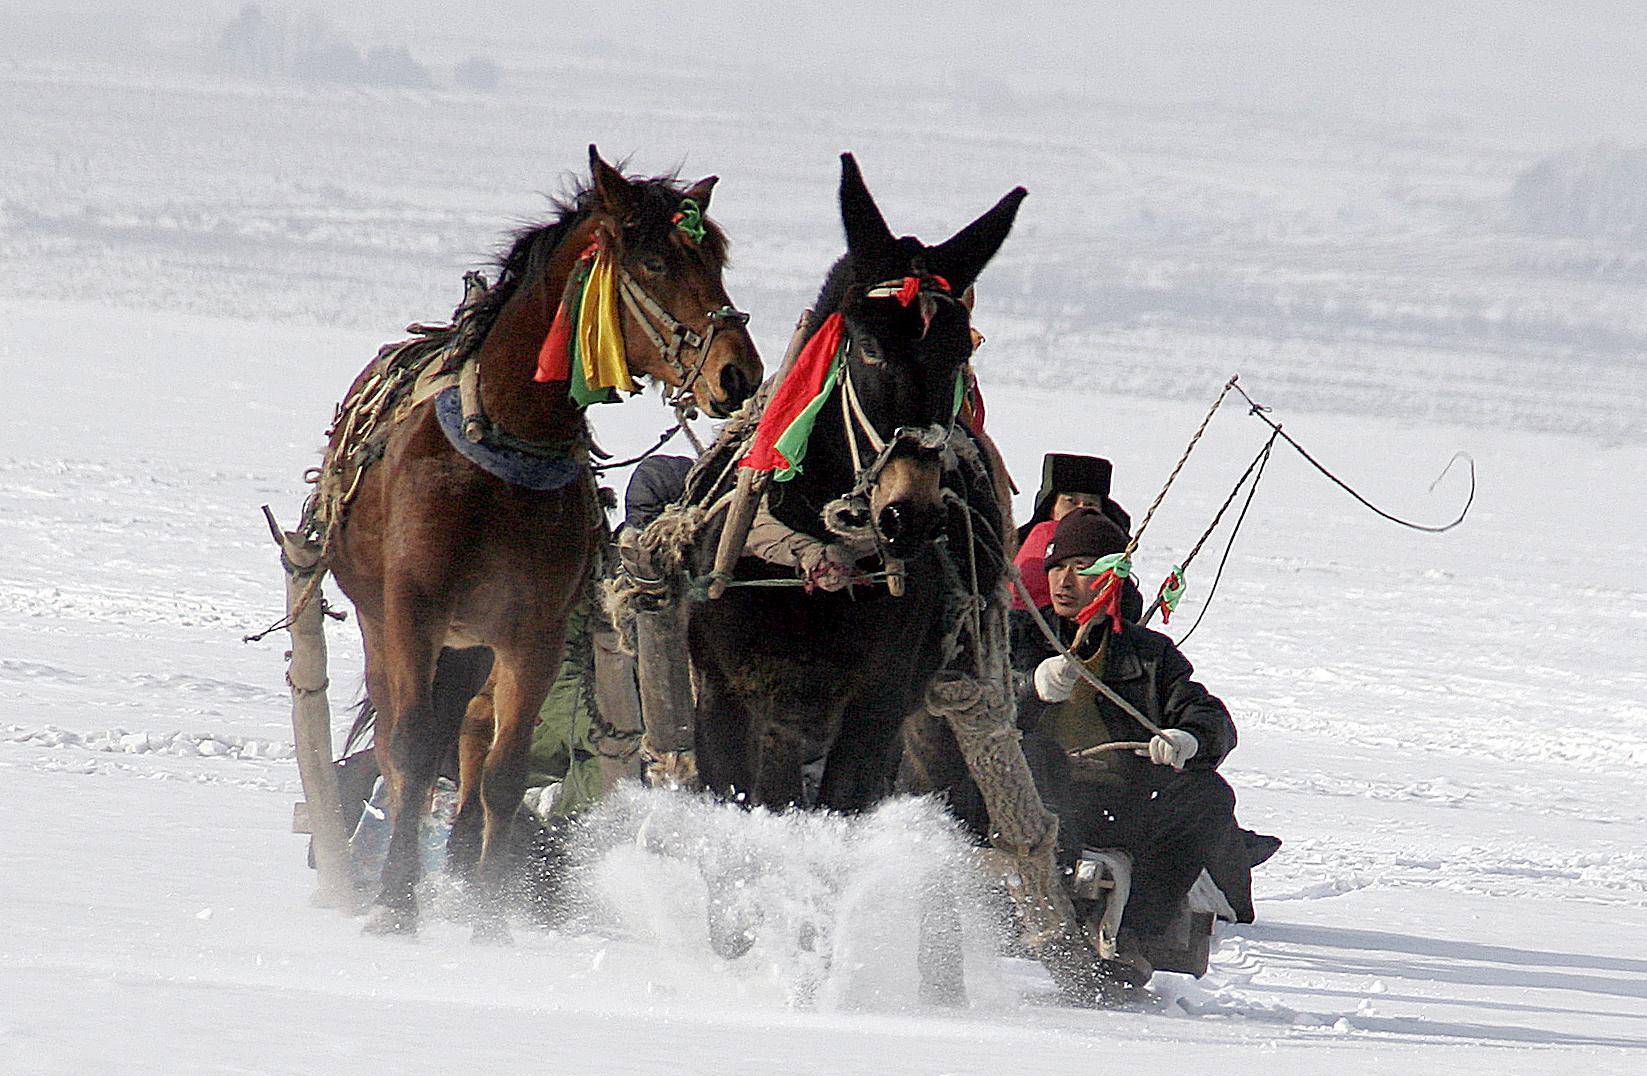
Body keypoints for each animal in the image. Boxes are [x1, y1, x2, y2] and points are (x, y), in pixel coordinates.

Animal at [329, 146, 764, 935]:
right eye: (655, 260)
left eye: (715, 258)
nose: (737, 372)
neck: (500, 460)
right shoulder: (413, 614)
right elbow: (411, 748)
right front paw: (398, 902)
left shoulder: (532, 630)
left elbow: (503, 771)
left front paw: (490, 916)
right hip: (387, 623)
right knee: (401, 740)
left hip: (473, 644)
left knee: (465, 732)